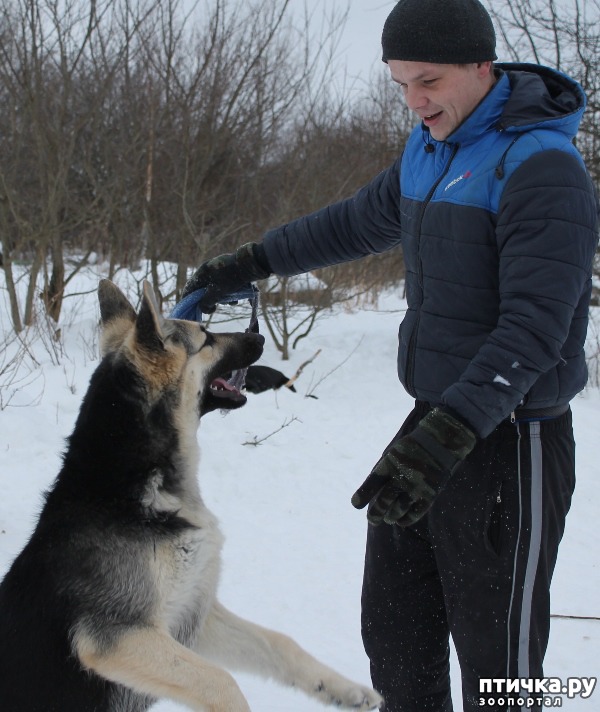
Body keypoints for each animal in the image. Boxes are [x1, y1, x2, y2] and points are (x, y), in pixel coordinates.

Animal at [0, 280, 382, 712]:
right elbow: (222, 681)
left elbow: (280, 643)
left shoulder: (193, 616)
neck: (133, 489)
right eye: (207, 338)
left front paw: (342, 689)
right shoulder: (117, 638)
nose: (258, 335)